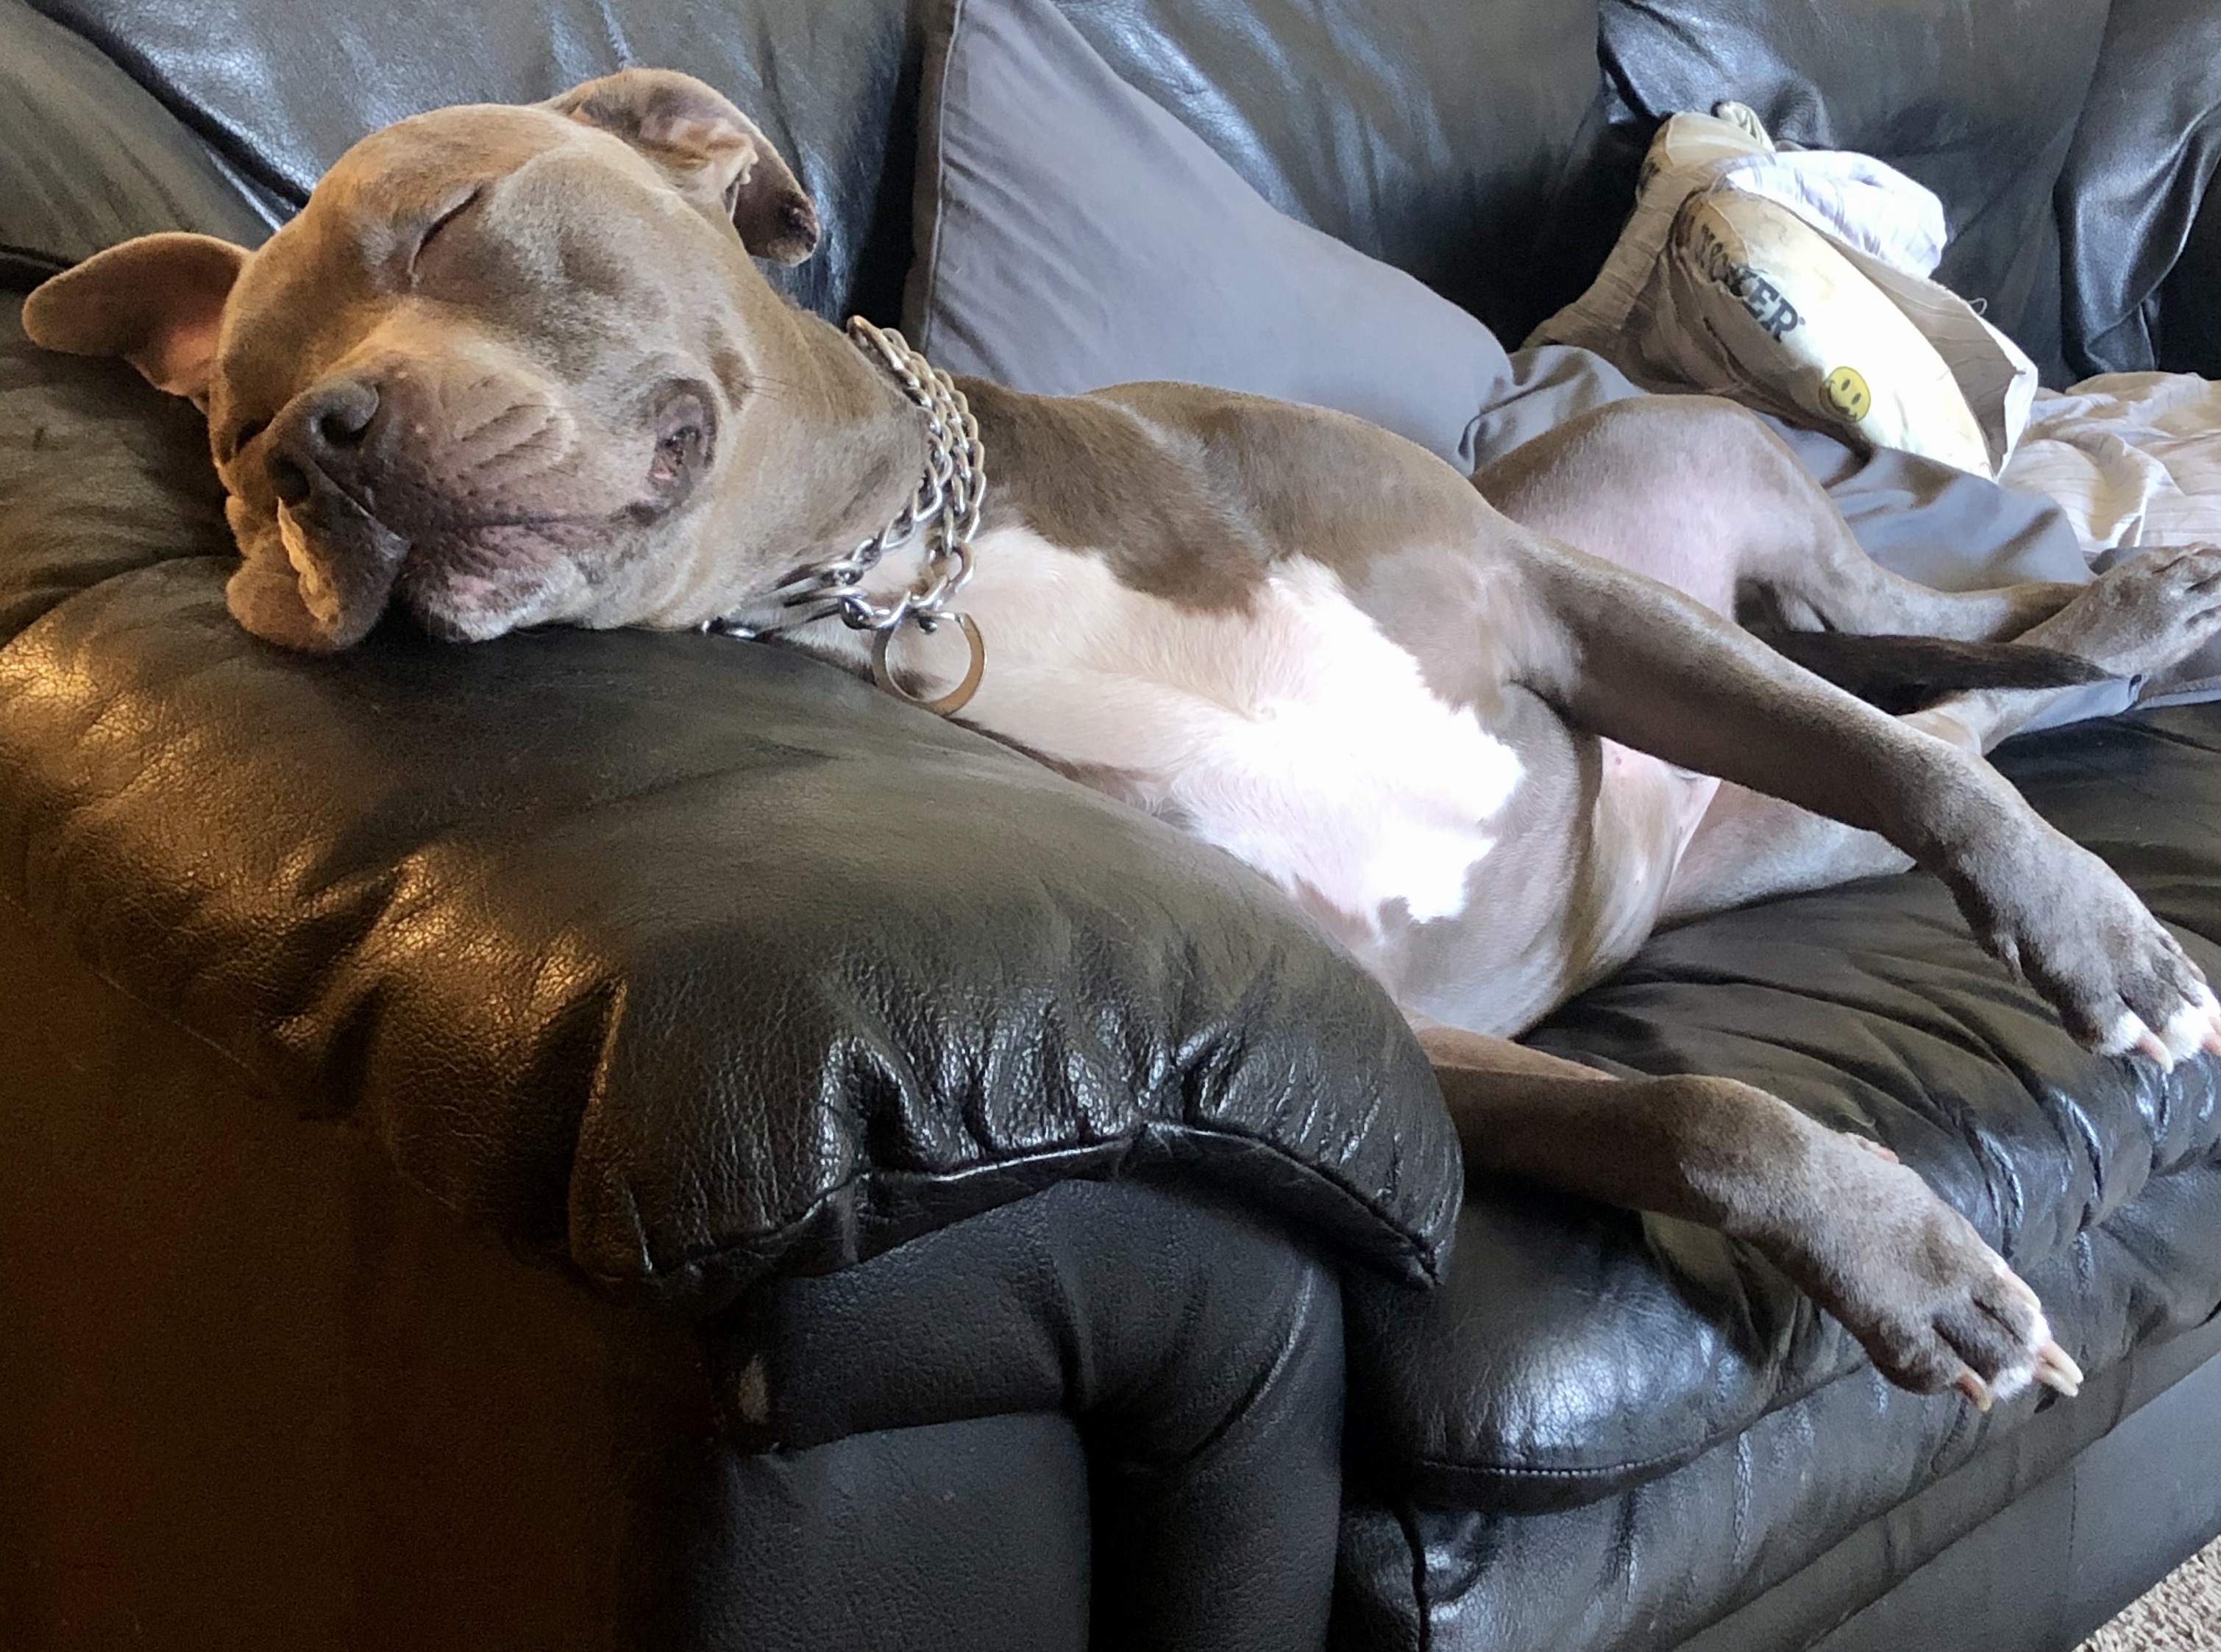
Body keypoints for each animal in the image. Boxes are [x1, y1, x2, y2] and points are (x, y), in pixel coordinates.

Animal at [30, 68, 2221, 1410]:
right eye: (226, 428)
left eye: (447, 222)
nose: (315, 455)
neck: (922, 560)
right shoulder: (1354, 1009)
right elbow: (1693, 1107)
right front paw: (1911, 1260)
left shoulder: (1560, 606)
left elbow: (1903, 763)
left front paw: (2097, 946)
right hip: (1760, 806)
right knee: (1977, 702)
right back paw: (2133, 643)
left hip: (1719, 525)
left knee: (1898, 664)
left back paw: (2128, 627)